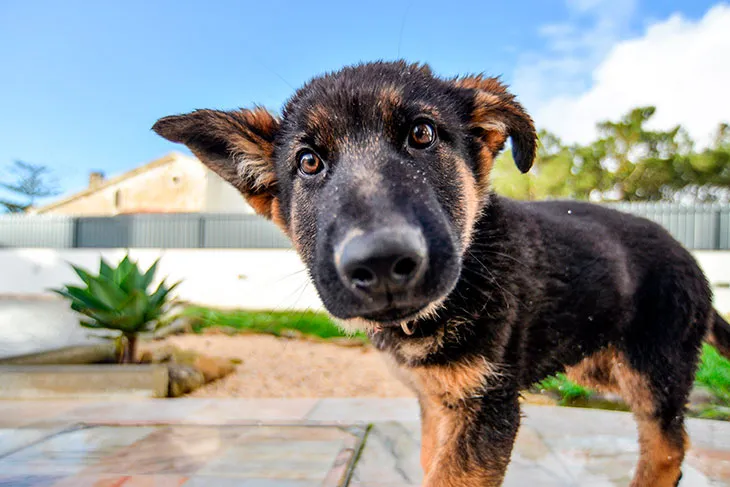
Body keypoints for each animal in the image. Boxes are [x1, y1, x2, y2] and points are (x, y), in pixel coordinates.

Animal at [154, 62, 728, 487]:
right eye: (309, 162)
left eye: (422, 134)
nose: (381, 264)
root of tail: (690, 256)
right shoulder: (437, 402)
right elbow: (431, 462)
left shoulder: (487, 410)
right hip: (597, 362)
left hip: (653, 370)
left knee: (668, 446)